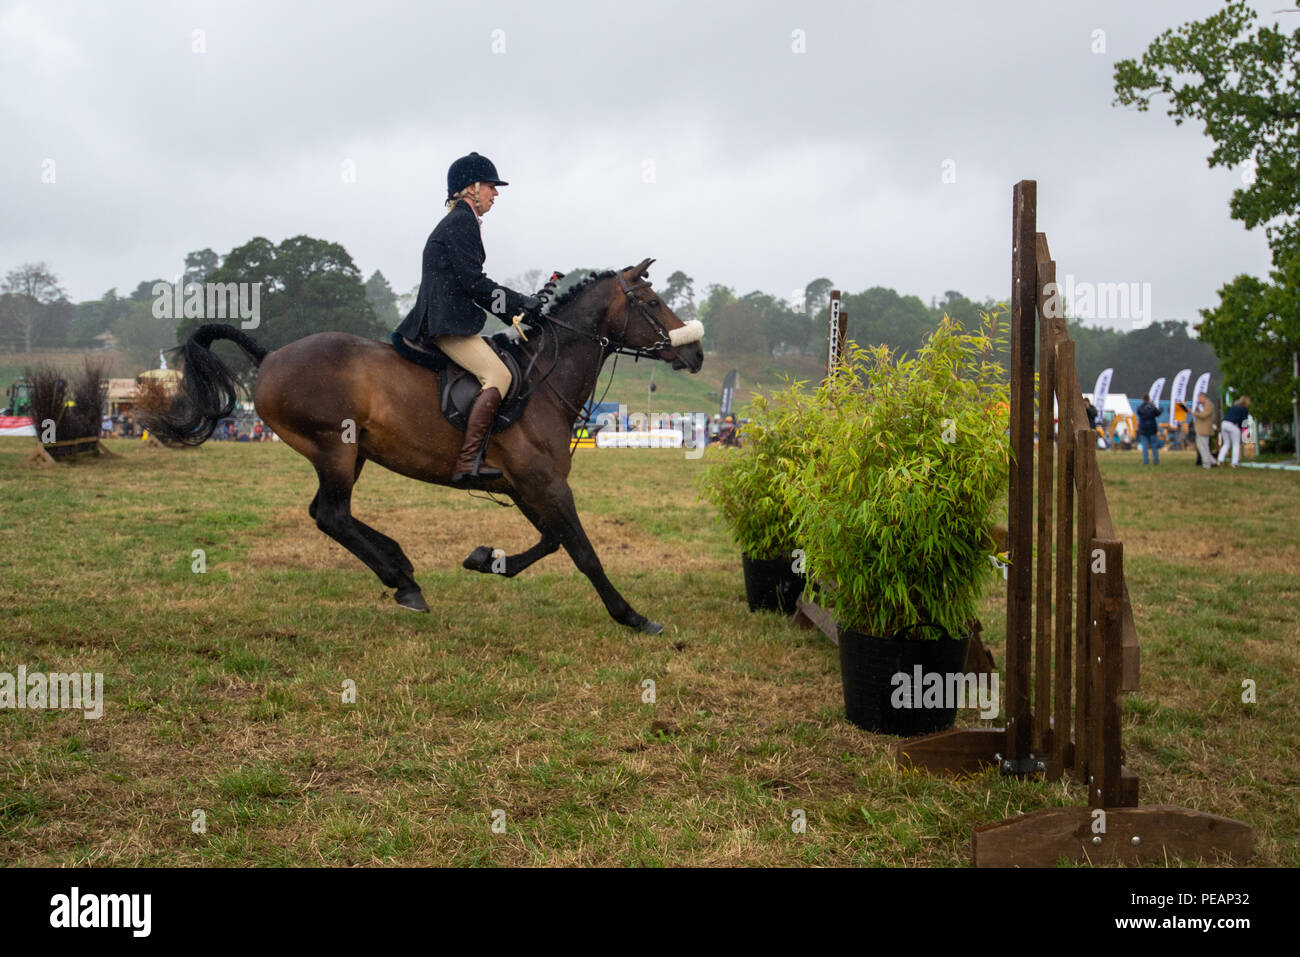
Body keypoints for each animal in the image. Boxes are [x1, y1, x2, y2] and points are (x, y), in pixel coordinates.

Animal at [144, 257, 702, 634]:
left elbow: (551, 541)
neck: (545, 379)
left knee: (327, 513)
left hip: (350, 454)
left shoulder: (526, 485)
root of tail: (272, 355)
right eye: (652, 303)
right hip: (335, 449)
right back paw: (403, 579)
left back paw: (400, 567)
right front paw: (633, 616)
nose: (695, 353)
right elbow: (582, 551)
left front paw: (485, 559)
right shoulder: (544, 483)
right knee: (332, 515)